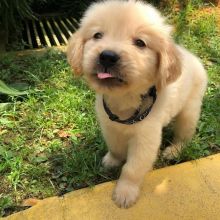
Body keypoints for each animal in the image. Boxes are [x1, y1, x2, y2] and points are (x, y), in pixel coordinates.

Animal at [66, 0, 207, 209]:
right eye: (97, 35)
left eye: (140, 43)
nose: (107, 56)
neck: (124, 99)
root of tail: (191, 56)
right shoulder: (110, 127)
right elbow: (115, 149)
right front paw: (112, 161)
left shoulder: (145, 139)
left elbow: (132, 168)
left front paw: (125, 192)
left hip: (189, 109)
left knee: (184, 134)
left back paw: (174, 150)